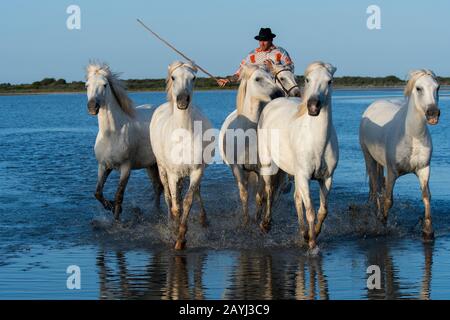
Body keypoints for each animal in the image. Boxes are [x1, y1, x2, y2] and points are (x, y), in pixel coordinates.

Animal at [85, 63, 163, 221]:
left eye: (104, 85)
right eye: (87, 85)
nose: (92, 107)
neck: (112, 134)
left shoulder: (126, 168)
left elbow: (119, 195)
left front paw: (117, 217)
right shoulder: (104, 166)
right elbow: (97, 192)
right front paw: (109, 205)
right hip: (150, 165)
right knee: (157, 187)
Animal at [150, 60, 214, 250]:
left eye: (193, 78)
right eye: (173, 77)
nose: (183, 101)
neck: (182, 135)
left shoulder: (196, 171)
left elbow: (187, 201)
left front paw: (181, 238)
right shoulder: (172, 174)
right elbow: (176, 205)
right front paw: (175, 233)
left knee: (195, 192)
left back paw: (203, 220)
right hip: (162, 169)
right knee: (168, 197)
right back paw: (171, 222)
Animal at [219, 64, 284, 225]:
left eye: (272, 77)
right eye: (257, 78)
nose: (278, 93)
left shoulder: (262, 169)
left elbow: (261, 196)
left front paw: (259, 219)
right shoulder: (238, 169)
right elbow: (244, 194)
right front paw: (246, 220)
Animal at [256, 61, 338, 251]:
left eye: (329, 81)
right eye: (307, 79)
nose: (313, 106)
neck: (317, 143)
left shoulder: (326, 178)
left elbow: (323, 210)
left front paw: (313, 233)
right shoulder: (305, 176)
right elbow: (310, 211)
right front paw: (313, 244)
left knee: (296, 199)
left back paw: (303, 232)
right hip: (269, 165)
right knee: (269, 191)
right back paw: (266, 224)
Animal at [360, 70, 442, 240]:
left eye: (437, 87)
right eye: (418, 88)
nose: (433, 113)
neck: (412, 136)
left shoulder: (424, 169)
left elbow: (426, 196)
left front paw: (428, 231)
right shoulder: (392, 171)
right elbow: (388, 200)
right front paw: (382, 224)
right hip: (369, 158)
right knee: (375, 187)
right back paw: (376, 214)